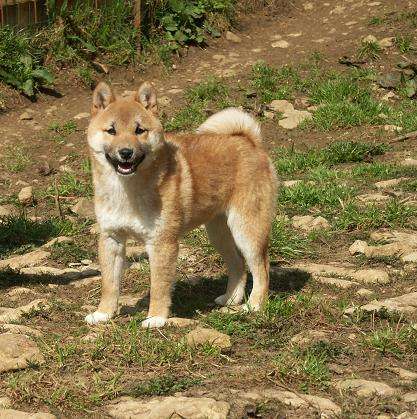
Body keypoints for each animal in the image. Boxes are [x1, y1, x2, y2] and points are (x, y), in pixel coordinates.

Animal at [85, 82, 276, 330]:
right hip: (219, 233)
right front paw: (103, 313)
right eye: (111, 131)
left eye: (139, 130)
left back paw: (253, 306)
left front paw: (155, 318)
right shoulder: (111, 238)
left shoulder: (161, 243)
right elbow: (109, 284)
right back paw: (231, 299)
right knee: (238, 264)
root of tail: (249, 142)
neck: (127, 190)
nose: (126, 152)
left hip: (247, 230)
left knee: (261, 268)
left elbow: (159, 286)